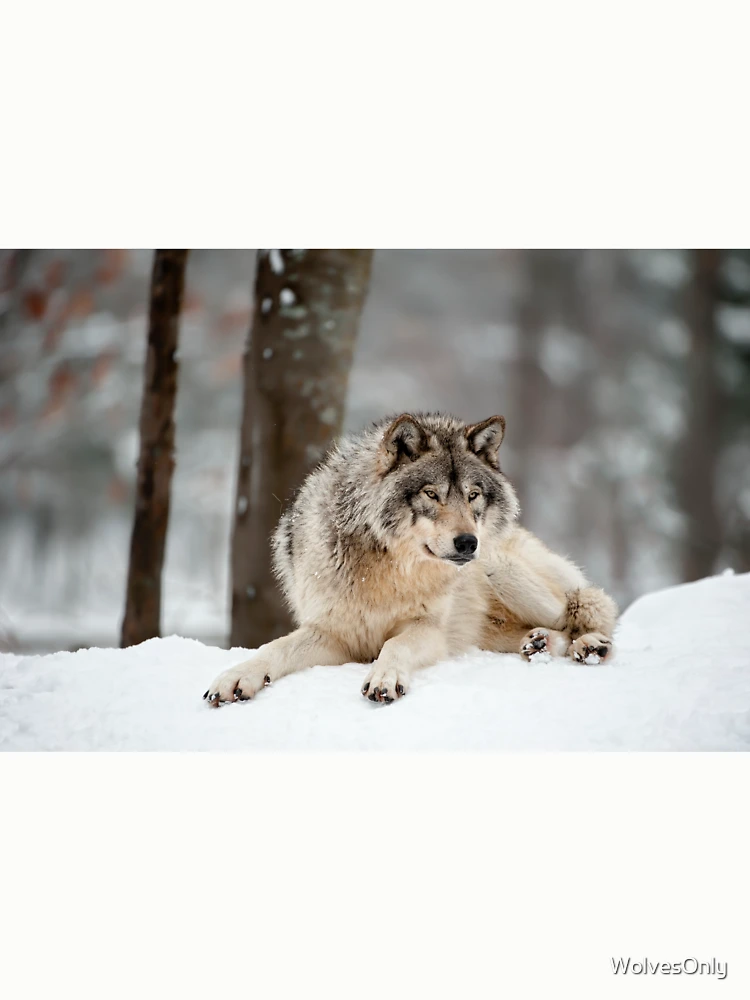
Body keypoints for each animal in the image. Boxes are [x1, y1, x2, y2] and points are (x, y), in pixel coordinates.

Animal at [205, 412, 617, 705]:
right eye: (431, 494)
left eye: (472, 495)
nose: (468, 543)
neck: (388, 570)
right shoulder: (334, 634)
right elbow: (273, 648)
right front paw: (236, 677)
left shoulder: (428, 630)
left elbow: (394, 646)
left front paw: (384, 679)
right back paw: (540, 643)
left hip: (504, 572)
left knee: (584, 613)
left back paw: (589, 646)